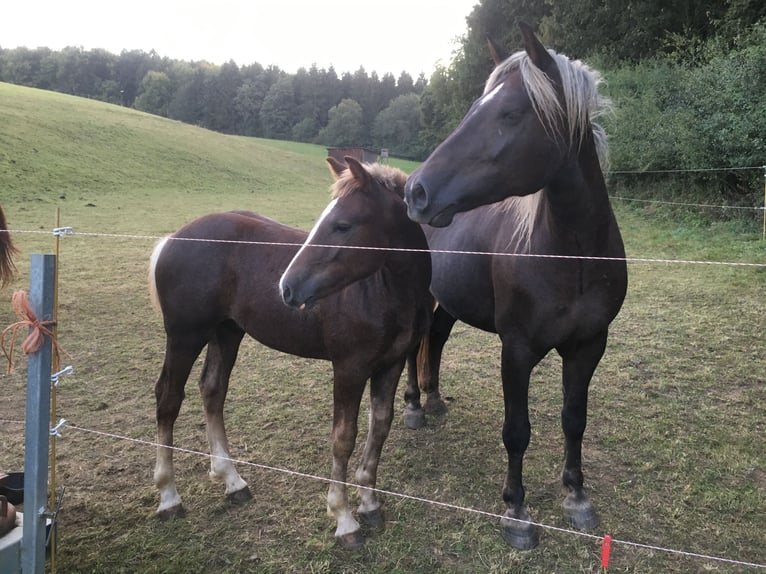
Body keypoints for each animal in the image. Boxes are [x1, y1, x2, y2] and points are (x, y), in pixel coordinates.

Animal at [150, 156, 436, 548]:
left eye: (342, 225)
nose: (287, 287)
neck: (385, 291)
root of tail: (172, 239)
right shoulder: (349, 368)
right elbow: (343, 438)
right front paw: (344, 518)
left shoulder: (389, 365)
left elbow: (379, 426)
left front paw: (369, 504)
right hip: (185, 335)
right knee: (168, 398)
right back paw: (169, 497)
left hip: (226, 332)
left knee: (212, 390)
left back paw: (232, 481)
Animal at [402, 23, 632, 552]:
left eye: (510, 114)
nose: (417, 192)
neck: (571, 257)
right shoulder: (517, 348)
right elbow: (517, 431)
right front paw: (517, 512)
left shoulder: (589, 345)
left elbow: (574, 418)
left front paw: (577, 497)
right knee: (411, 347)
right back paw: (414, 407)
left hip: (447, 303)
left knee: (434, 340)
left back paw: (435, 399)